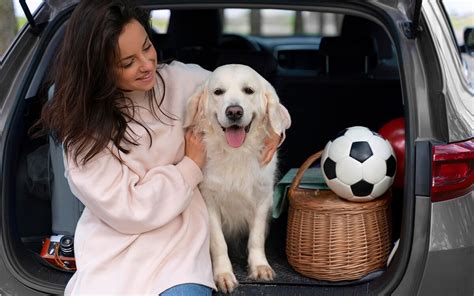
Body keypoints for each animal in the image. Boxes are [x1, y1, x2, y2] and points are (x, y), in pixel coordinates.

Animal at [184, 63, 288, 292]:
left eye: (248, 90)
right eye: (218, 92)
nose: (234, 111)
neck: (235, 153)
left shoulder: (263, 197)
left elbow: (256, 238)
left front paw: (259, 266)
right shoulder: (209, 200)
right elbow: (218, 242)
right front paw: (223, 274)